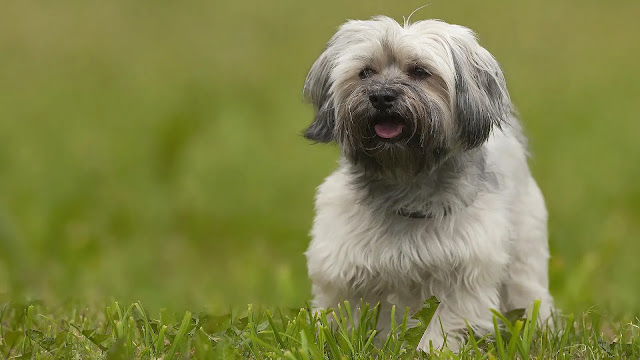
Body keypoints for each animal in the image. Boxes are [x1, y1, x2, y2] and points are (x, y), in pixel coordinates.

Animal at [302, 16, 552, 352]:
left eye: (420, 71)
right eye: (365, 72)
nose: (381, 97)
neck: (405, 180)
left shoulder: (463, 273)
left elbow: (443, 325)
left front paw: (431, 350)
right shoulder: (343, 267)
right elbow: (344, 316)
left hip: (525, 249)